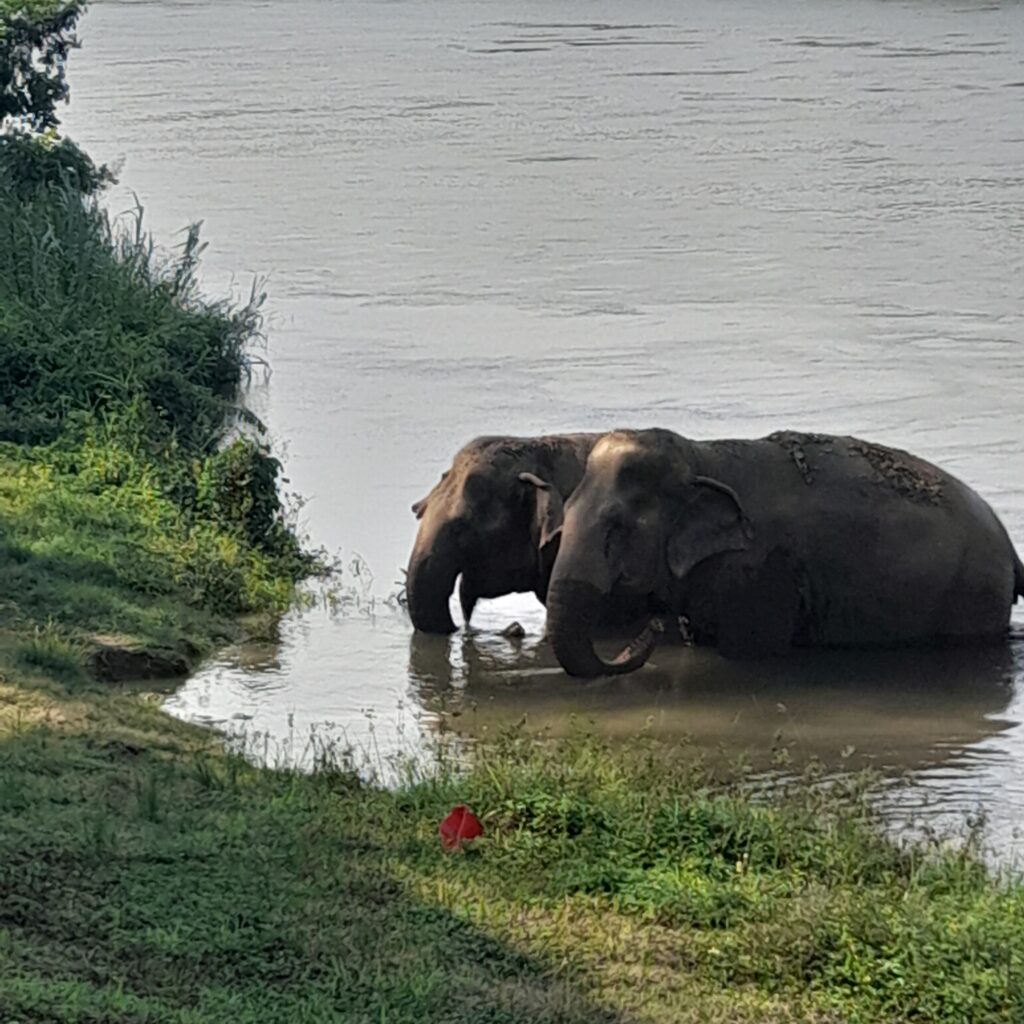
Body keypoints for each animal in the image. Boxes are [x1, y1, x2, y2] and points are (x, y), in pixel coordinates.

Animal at [545, 428, 1024, 677]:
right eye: (564, 514)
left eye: (617, 527)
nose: (648, 631)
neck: (703, 456)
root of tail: (1009, 547)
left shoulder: (762, 573)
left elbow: (748, 652)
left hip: (972, 595)